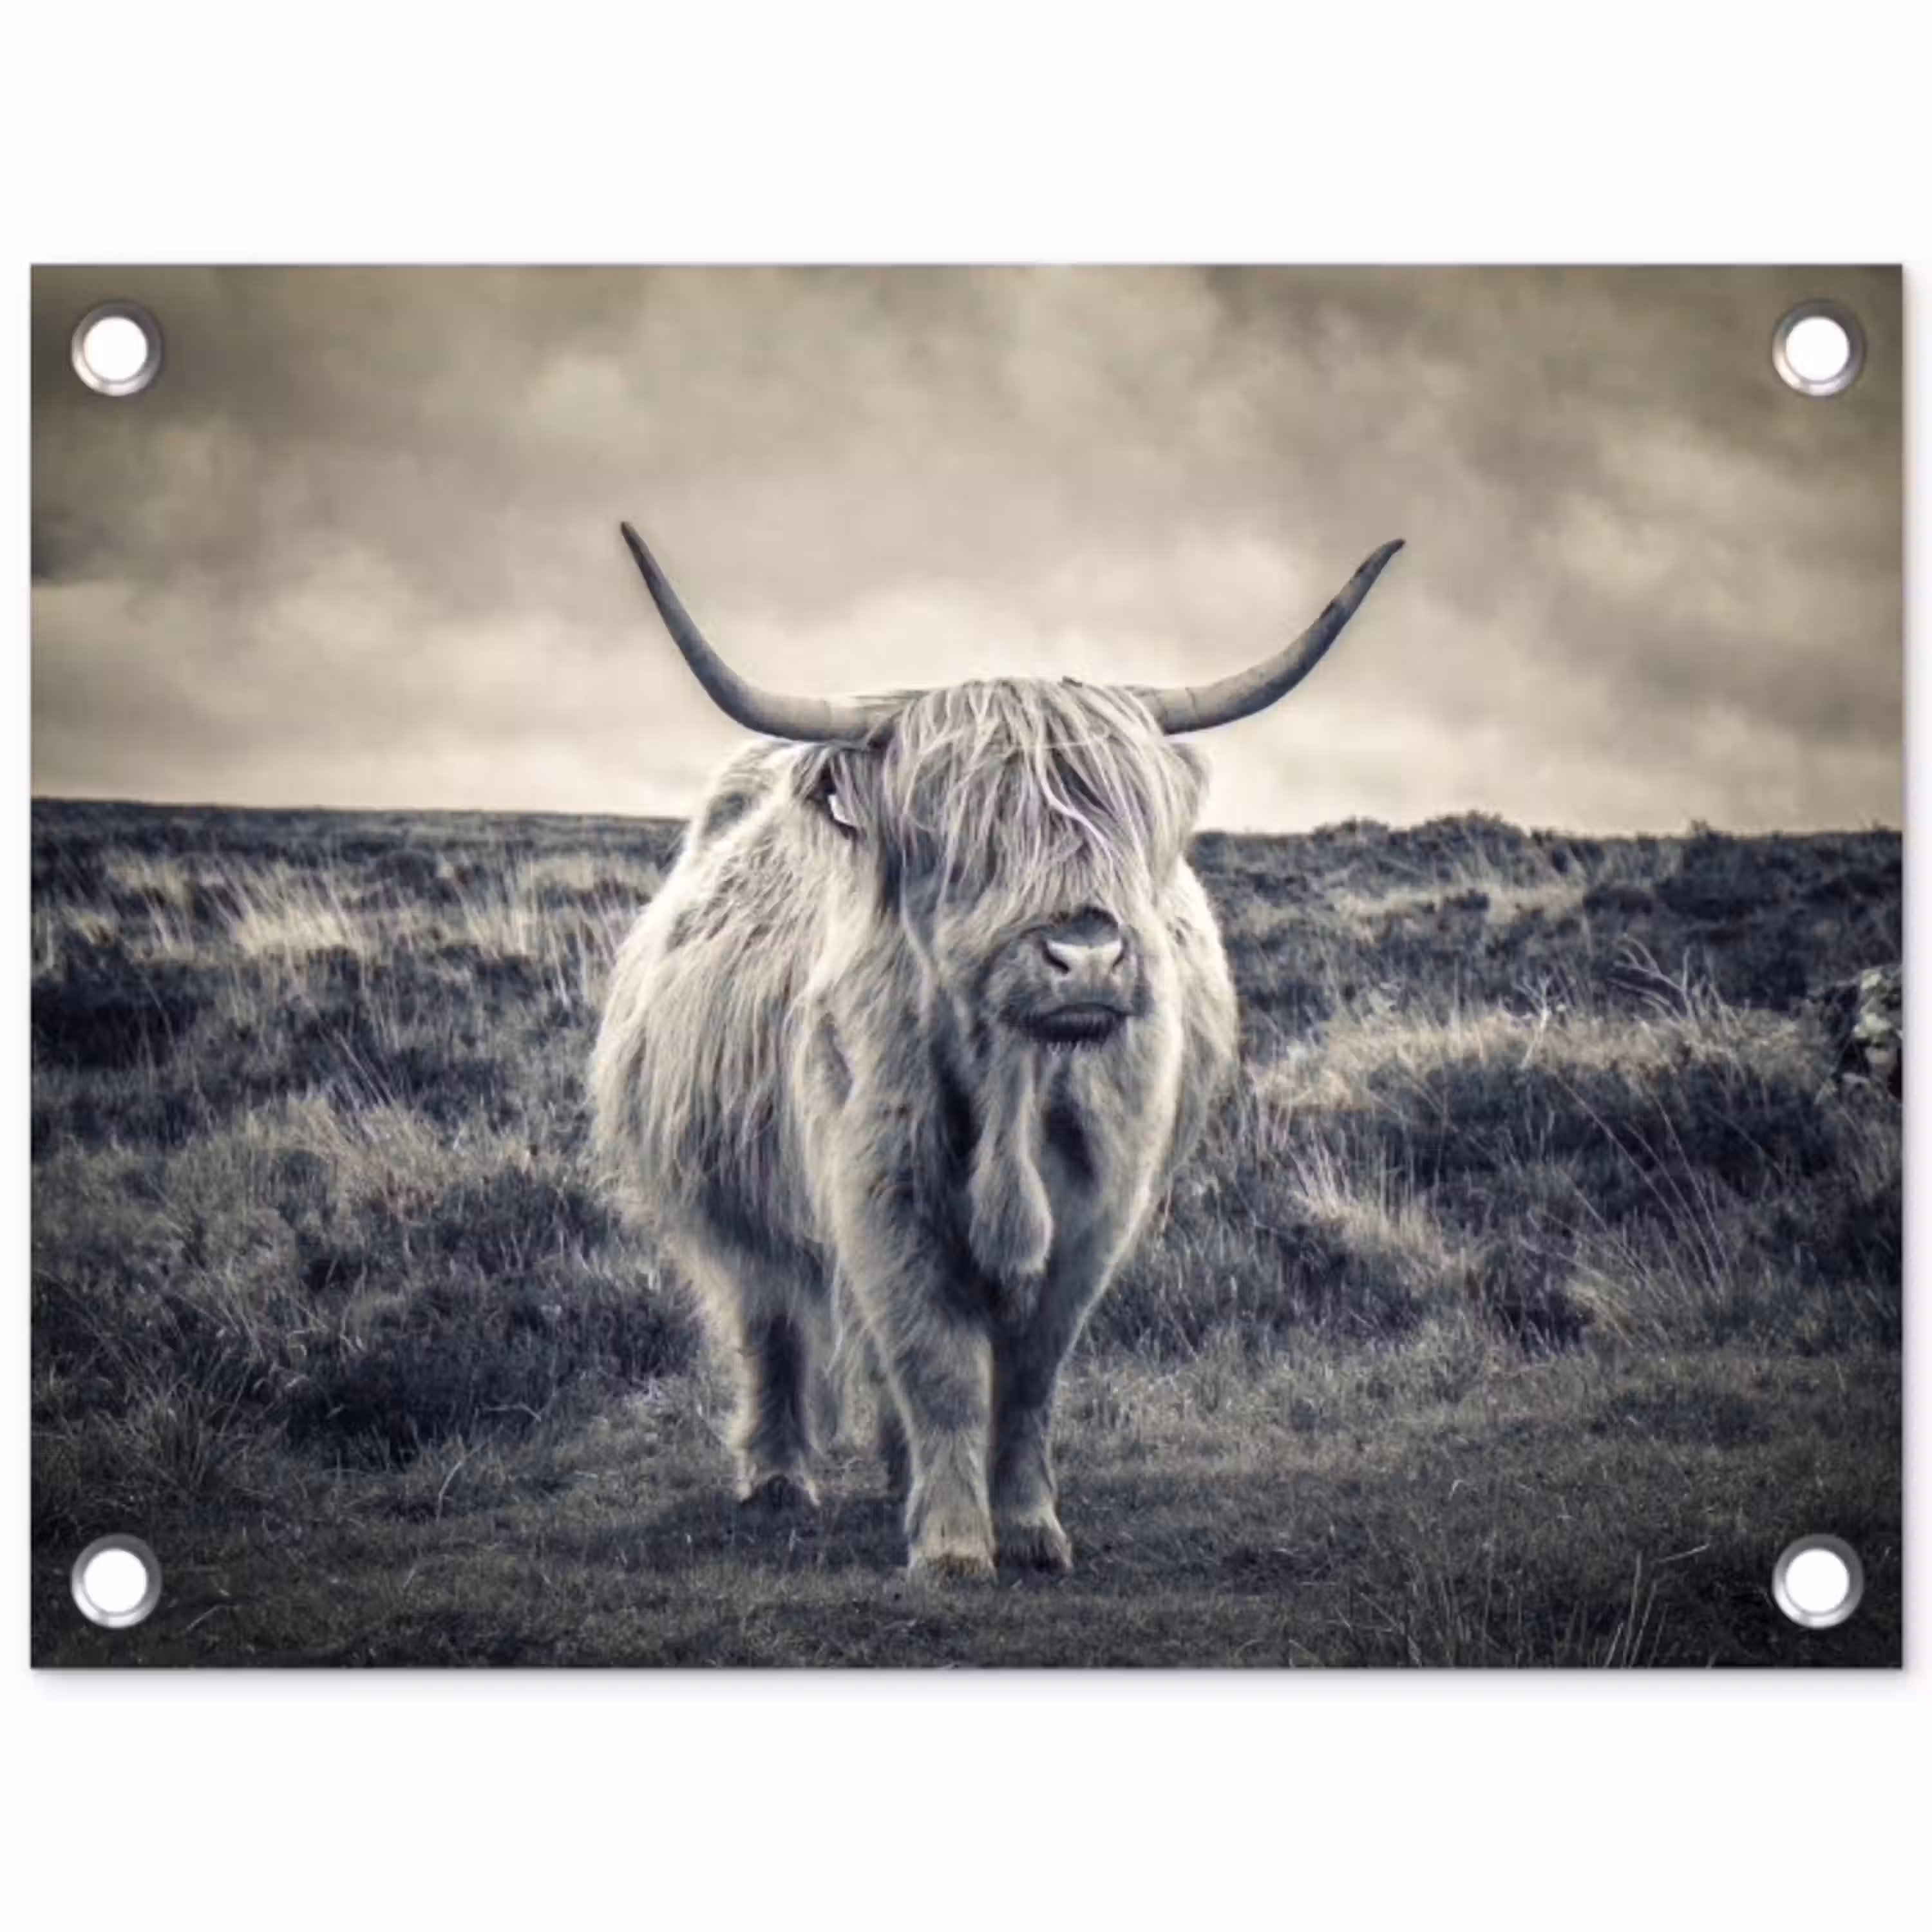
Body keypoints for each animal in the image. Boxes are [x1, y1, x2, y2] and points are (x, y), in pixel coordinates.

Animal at [591, 521, 1403, 1579]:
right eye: (961, 836)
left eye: (1126, 823)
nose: (1086, 955)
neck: (1015, 1084)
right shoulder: (882, 1194)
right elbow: (933, 1363)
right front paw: (951, 1546)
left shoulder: (1097, 1211)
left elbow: (1027, 1377)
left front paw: (1026, 1527)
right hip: (735, 1194)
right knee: (770, 1318)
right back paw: (777, 1478)